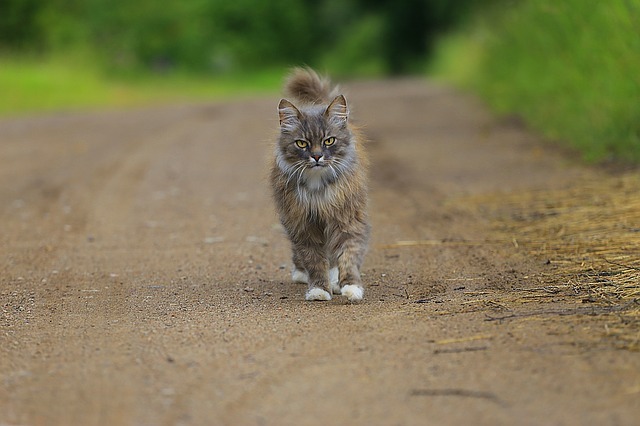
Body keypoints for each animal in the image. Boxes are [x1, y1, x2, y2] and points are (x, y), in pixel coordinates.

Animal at [270, 68, 370, 302]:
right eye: (302, 143)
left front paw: (351, 288)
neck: (318, 189)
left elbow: (348, 256)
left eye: (329, 141)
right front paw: (318, 290)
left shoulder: (347, 219)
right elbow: (314, 261)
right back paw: (301, 274)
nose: (316, 156)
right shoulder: (302, 223)